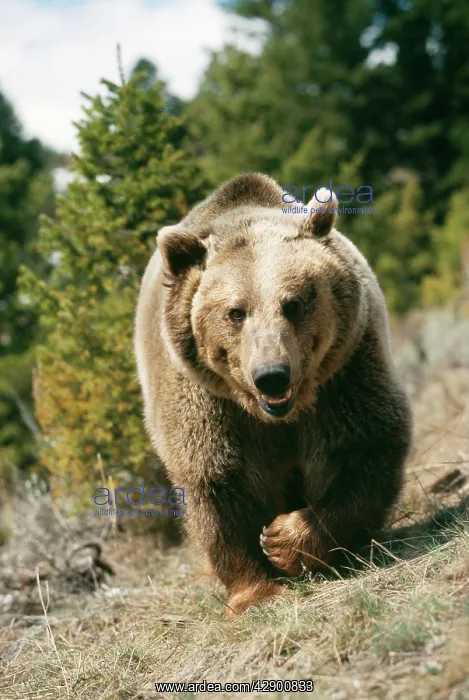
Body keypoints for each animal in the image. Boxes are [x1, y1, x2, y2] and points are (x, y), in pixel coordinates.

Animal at [134, 172, 412, 618]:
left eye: (294, 303)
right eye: (235, 312)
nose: (272, 377)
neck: (273, 415)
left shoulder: (346, 370)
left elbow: (363, 445)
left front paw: (286, 539)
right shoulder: (205, 399)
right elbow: (216, 480)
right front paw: (257, 591)